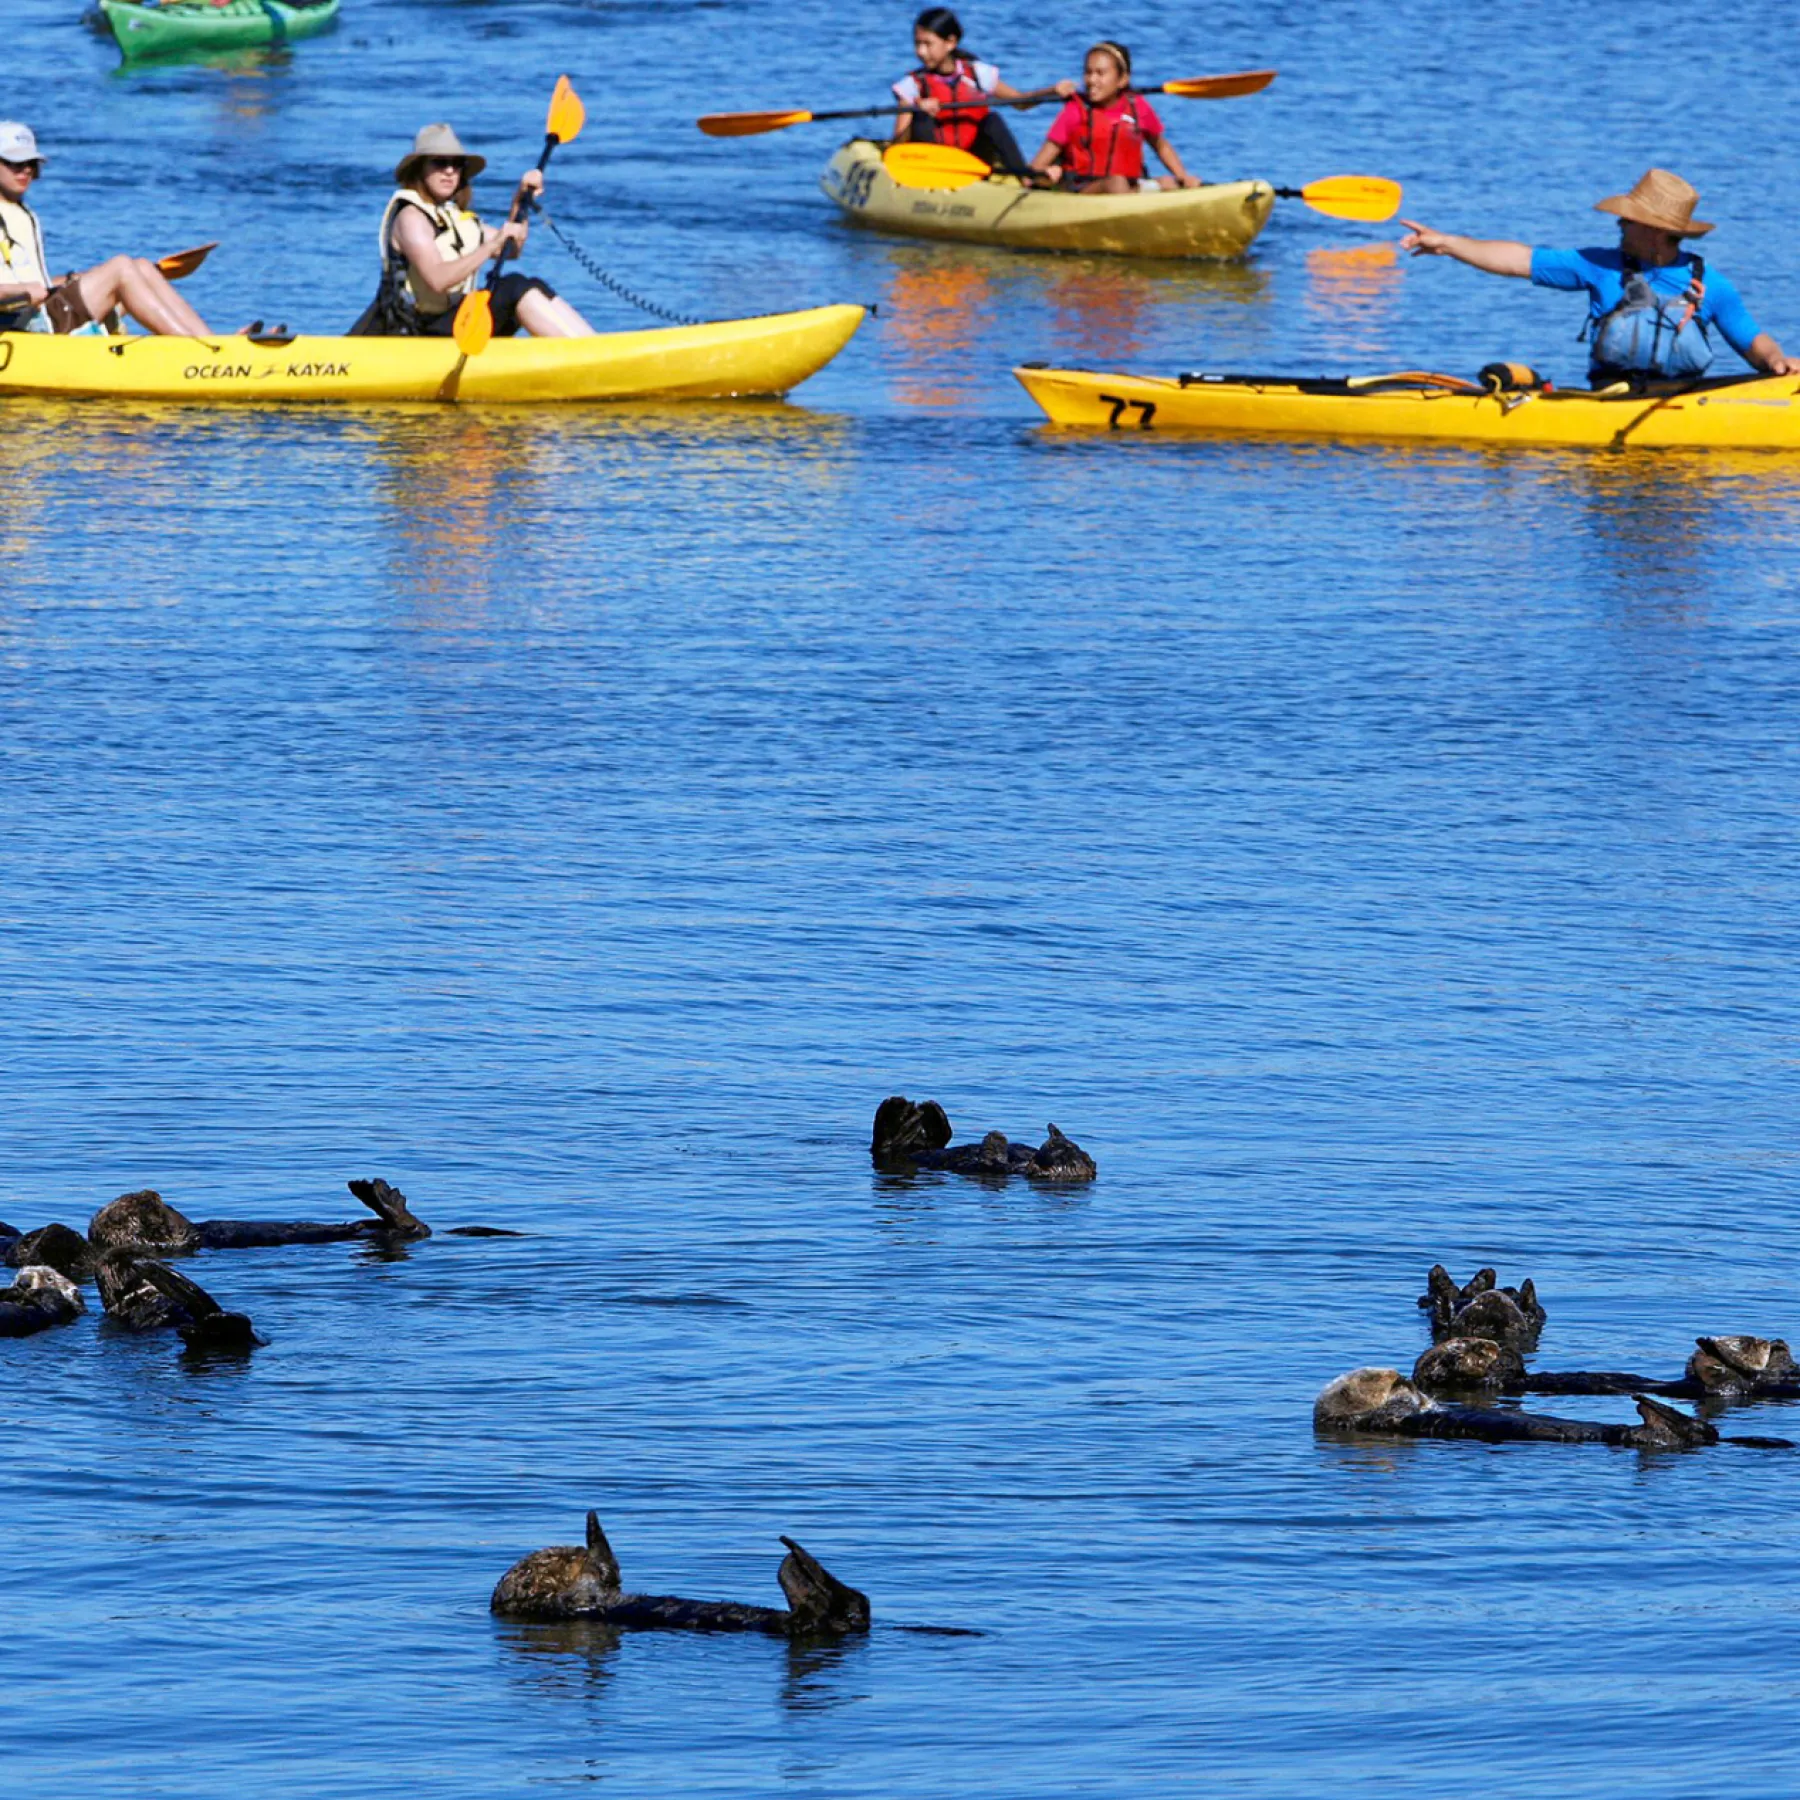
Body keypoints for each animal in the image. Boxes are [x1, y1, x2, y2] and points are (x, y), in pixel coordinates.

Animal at [491, 1512, 871, 1638]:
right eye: (556, 1557)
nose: (575, 1550)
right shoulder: (577, 1599)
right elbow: (605, 1570)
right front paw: (593, 1531)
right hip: (802, 1624)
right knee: (817, 1614)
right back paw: (794, 1565)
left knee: (857, 1604)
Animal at [871, 1097, 1096, 1182]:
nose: (1051, 1137)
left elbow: (989, 1157)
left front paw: (995, 1138)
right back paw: (928, 1110)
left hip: (896, 1149)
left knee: (887, 1146)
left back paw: (899, 1109)